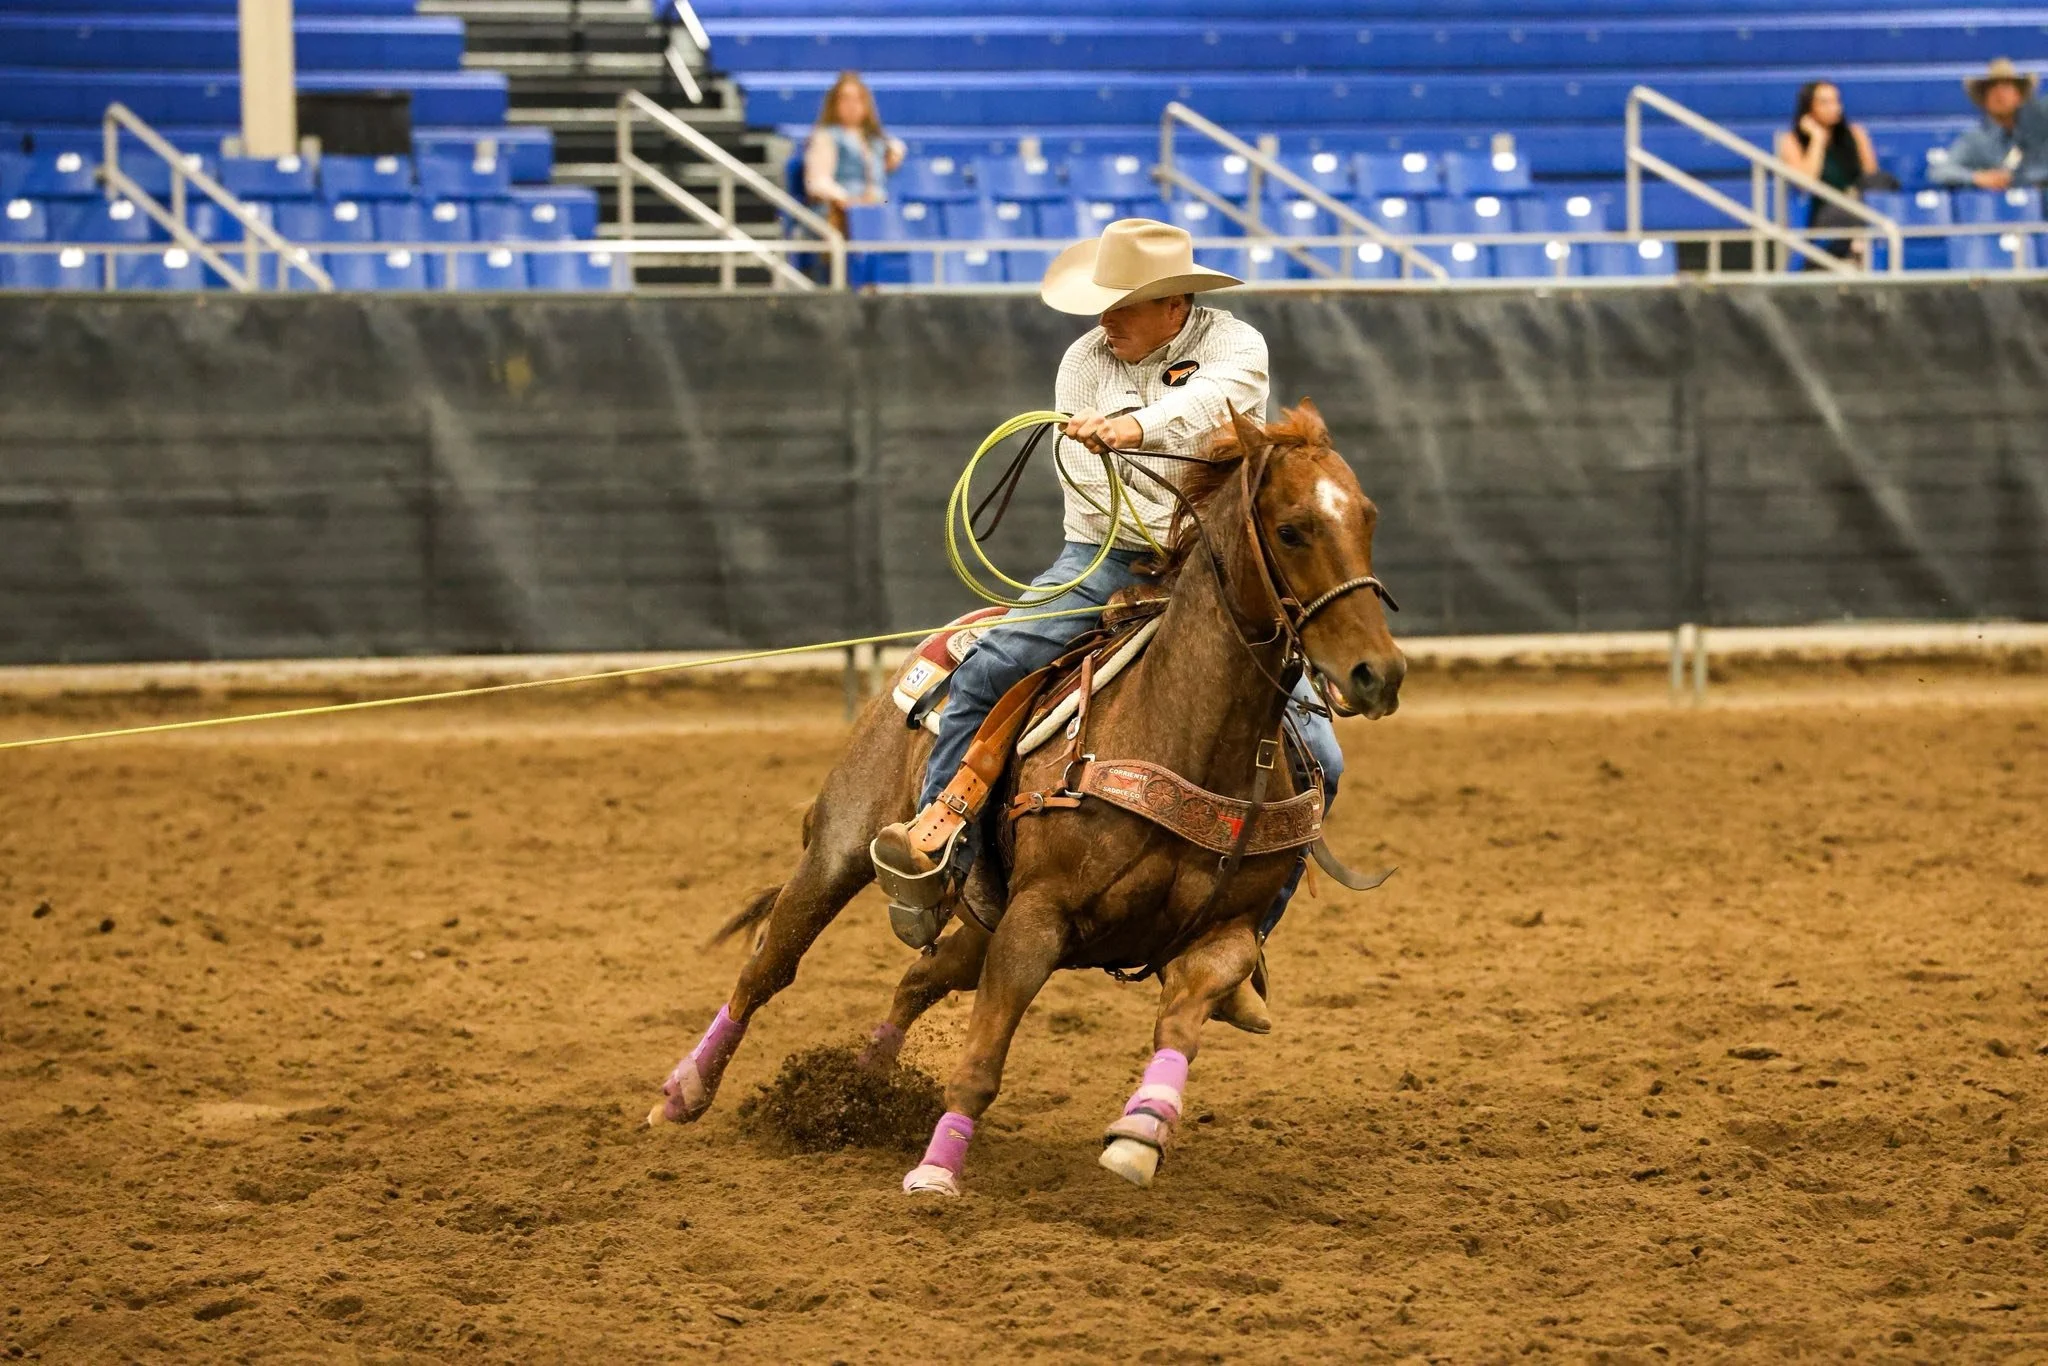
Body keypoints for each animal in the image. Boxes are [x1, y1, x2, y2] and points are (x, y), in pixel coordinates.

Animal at [647, 399, 1405, 1196]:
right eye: (1292, 528)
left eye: (1367, 517)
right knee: (769, 965)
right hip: (838, 853)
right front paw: (936, 1173)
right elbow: (982, 1061)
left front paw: (1141, 1133)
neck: (1187, 732)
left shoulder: (1224, 933)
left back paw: (857, 1093)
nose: (1378, 674)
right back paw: (684, 1092)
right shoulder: (1036, 918)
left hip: (978, 918)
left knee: (918, 978)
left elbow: (1182, 1018)